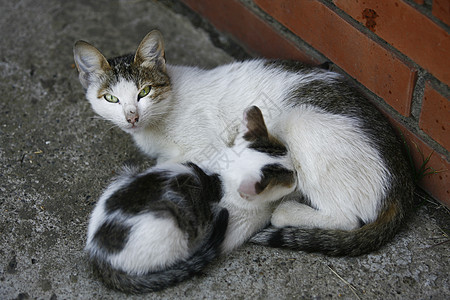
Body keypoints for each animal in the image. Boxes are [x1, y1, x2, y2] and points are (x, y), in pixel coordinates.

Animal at [74, 29, 414, 255]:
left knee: (347, 218)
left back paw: (286, 212)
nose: (131, 116)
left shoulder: (210, 150)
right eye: (112, 99)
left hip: (301, 118)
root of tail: (401, 186)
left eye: (144, 92)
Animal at [86, 106, 298, 292]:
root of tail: (96, 254)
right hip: (169, 226)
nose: (297, 174)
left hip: (126, 173)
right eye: (289, 180)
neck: (218, 176)